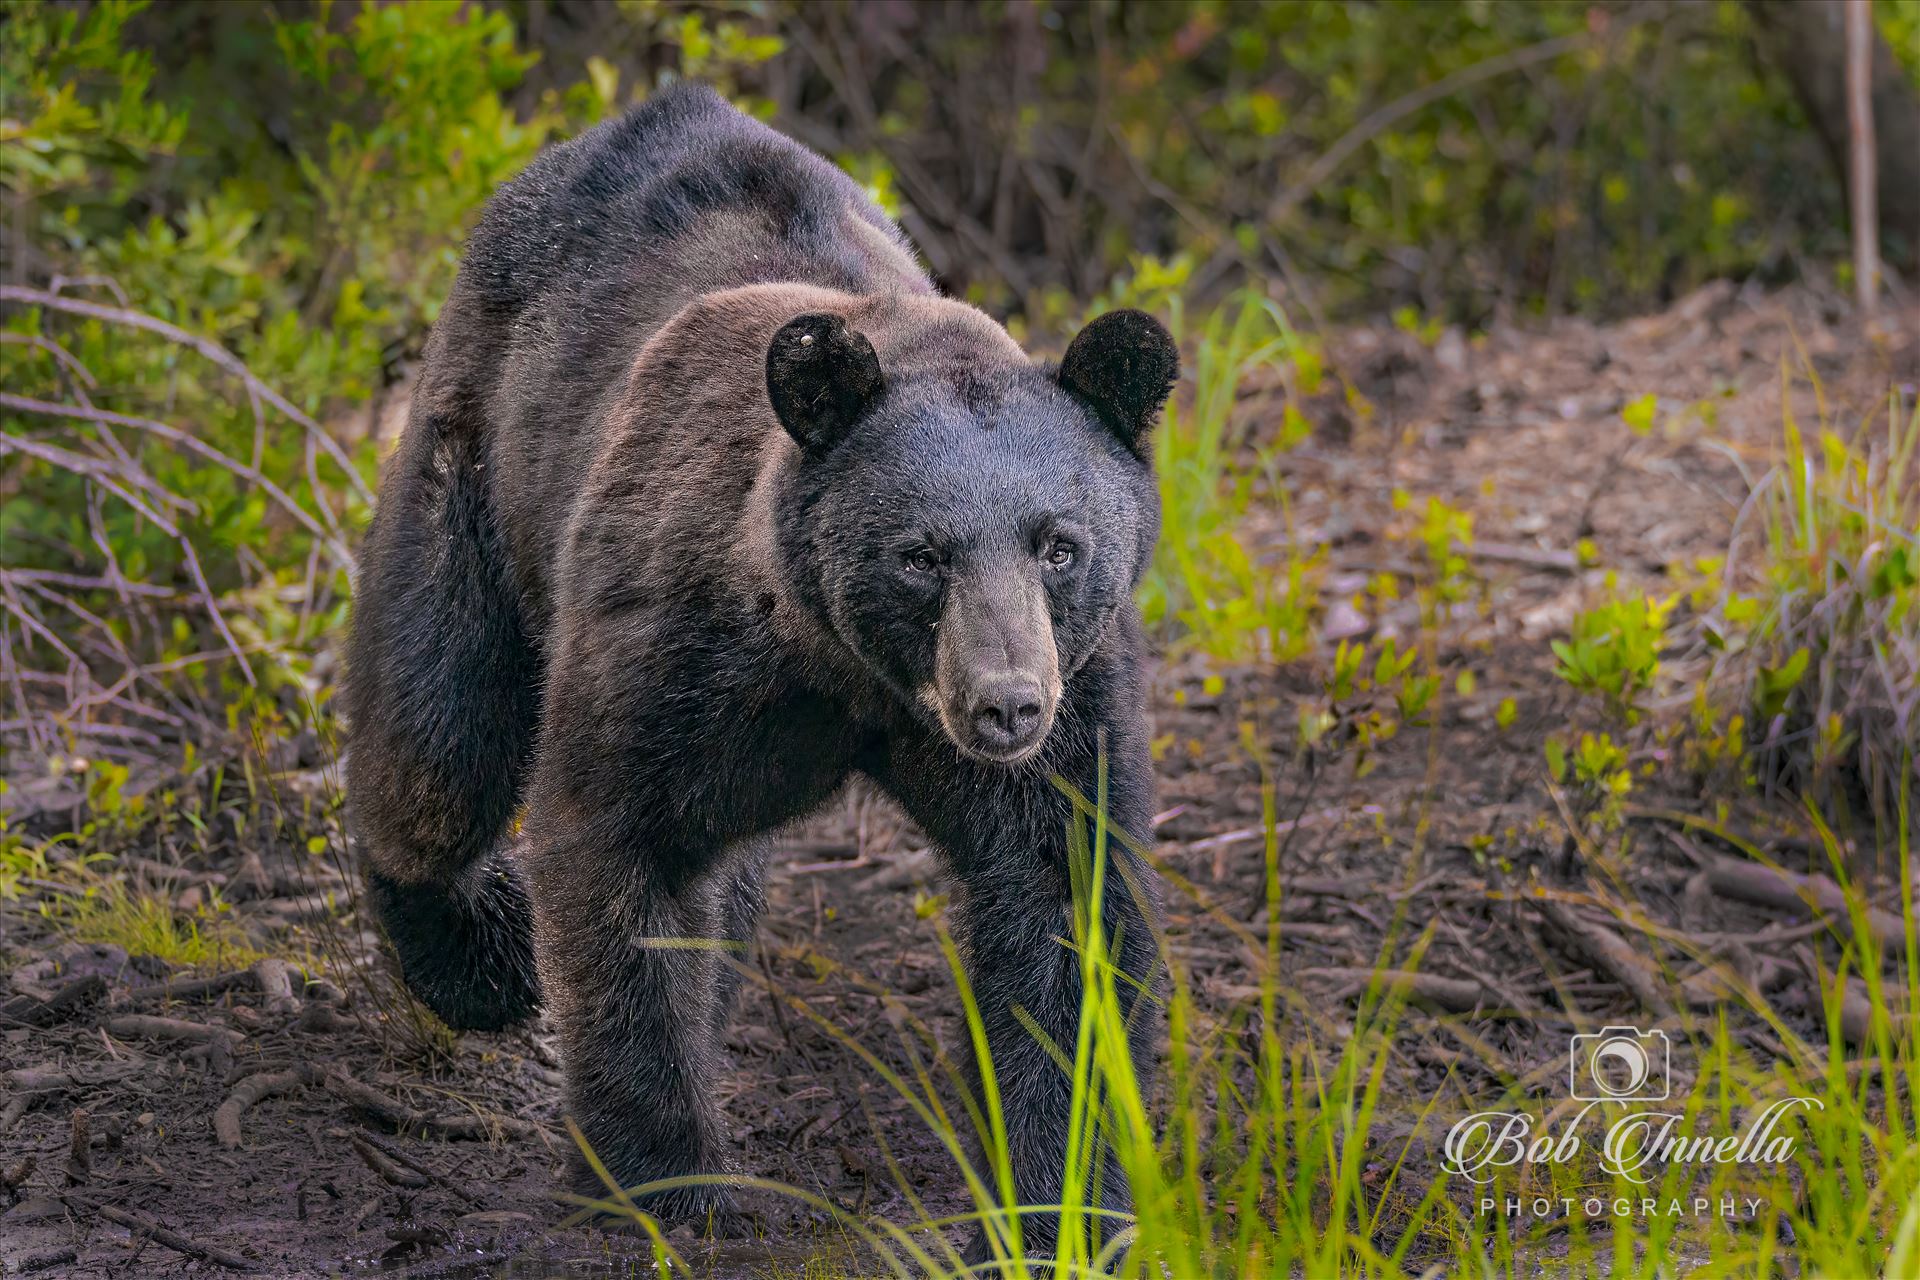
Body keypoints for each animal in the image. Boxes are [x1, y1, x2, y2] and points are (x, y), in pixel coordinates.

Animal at [345, 84, 1175, 1258]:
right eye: (921, 553)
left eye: (1059, 543)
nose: (1005, 705)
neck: (854, 670)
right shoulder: (678, 651)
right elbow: (616, 852)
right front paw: (659, 1173)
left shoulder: (1077, 695)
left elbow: (1065, 914)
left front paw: (1059, 1203)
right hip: (477, 465)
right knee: (435, 736)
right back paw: (478, 951)